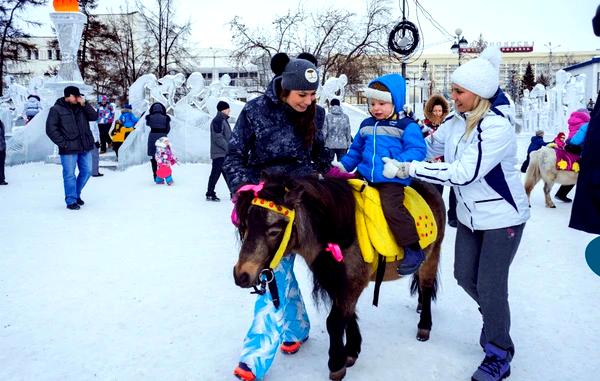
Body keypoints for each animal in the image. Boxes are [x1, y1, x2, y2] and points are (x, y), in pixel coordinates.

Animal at [231, 174, 446, 378]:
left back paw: (424, 326)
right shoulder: (336, 283)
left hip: (432, 255)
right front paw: (351, 350)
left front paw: (336, 364)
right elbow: (347, 316)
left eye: (275, 231)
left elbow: (334, 322)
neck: (338, 233)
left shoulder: (352, 284)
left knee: (426, 287)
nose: (241, 274)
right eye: (246, 225)